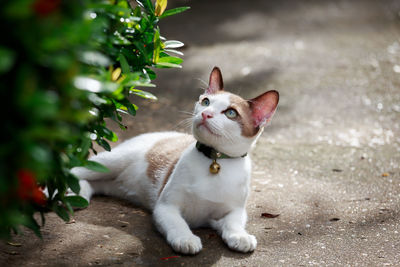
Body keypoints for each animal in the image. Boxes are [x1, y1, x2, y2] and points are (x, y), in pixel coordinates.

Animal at [71, 67, 278, 255]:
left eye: (231, 113)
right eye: (206, 102)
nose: (206, 114)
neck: (214, 160)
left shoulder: (234, 211)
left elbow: (233, 223)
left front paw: (240, 236)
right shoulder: (166, 207)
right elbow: (178, 224)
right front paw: (186, 239)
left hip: (111, 182)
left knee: (93, 183)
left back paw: (78, 195)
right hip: (111, 162)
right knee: (75, 170)